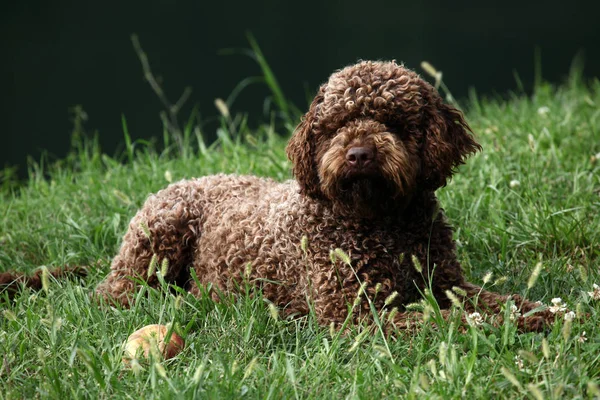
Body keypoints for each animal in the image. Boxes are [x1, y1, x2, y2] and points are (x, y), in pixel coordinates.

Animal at [2, 61, 552, 332]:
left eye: (393, 121)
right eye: (336, 125)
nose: (358, 154)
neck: (383, 223)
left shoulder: (445, 283)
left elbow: (497, 301)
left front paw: (542, 314)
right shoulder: (352, 314)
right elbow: (440, 322)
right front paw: (490, 329)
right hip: (159, 239)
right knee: (112, 296)